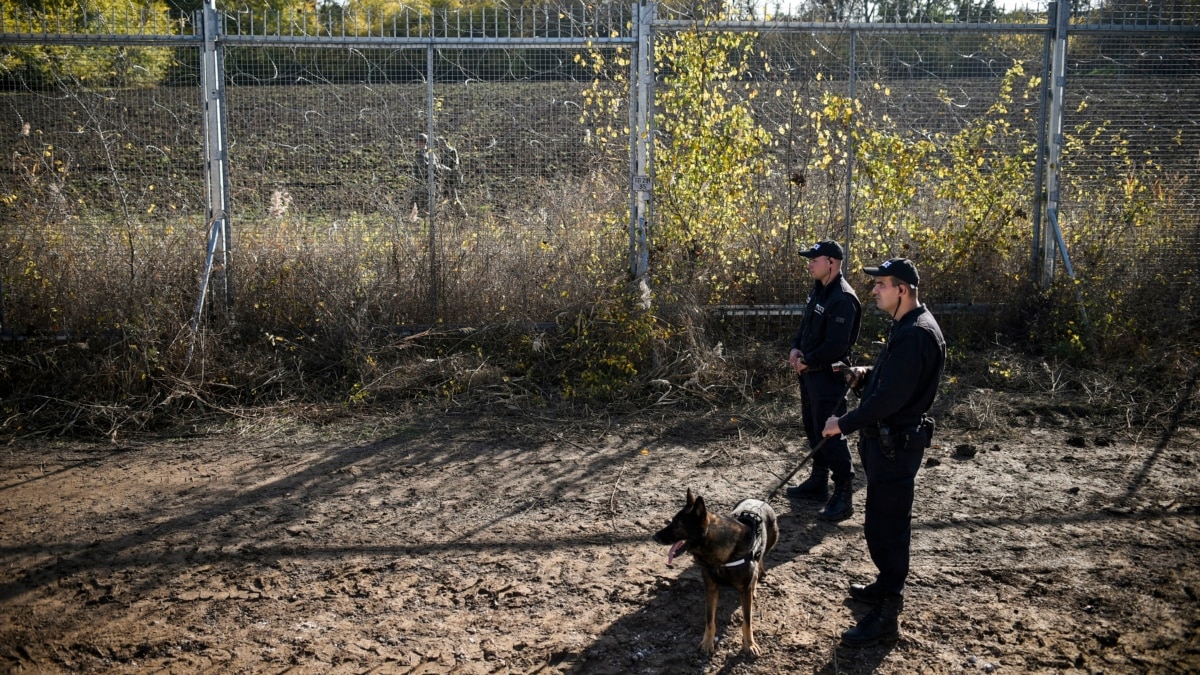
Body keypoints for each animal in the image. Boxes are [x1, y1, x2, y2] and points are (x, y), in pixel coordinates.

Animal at [657, 485, 777, 653]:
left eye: (677, 525)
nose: (655, 536)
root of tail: (759, 501)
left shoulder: (744, 590)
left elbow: (747, 622)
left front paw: (749, 644)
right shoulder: (711, 587)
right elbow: (709, 619)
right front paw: (707, 642)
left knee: (760, 560)